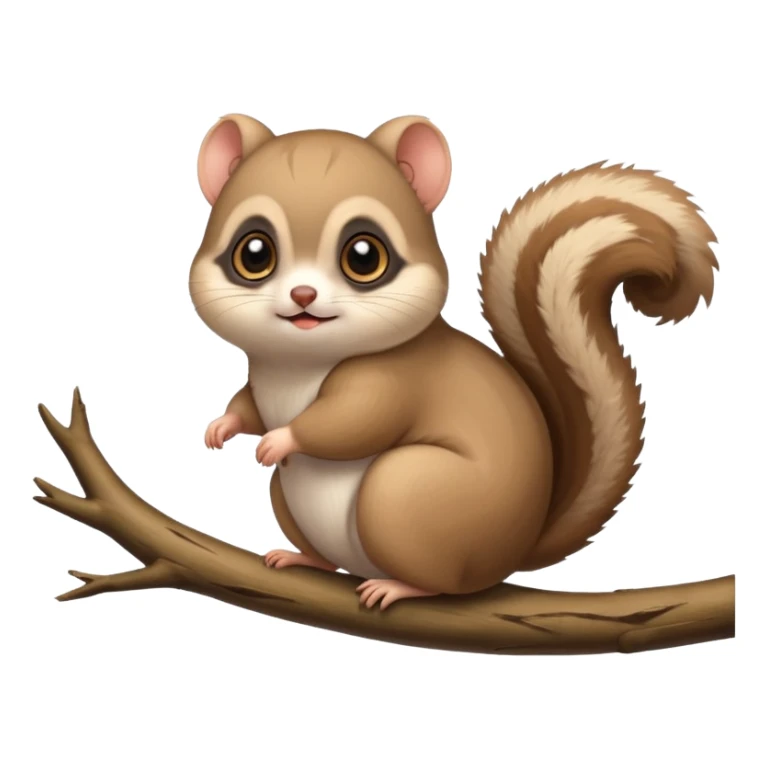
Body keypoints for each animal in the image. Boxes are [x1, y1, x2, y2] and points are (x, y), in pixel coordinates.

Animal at [189, 113, 717, 610]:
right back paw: (303, 559)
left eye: (364, 256)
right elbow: (249, 406)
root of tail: (517, 547)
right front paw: (220, 428)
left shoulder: (391, 378)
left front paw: (281, 440)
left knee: (445, 581)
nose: (303, 296)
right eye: (253, 252)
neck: (298, 364)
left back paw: (398, 587)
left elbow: (352, 421)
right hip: (294, 499)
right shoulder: (261, 381)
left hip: (403, 493)